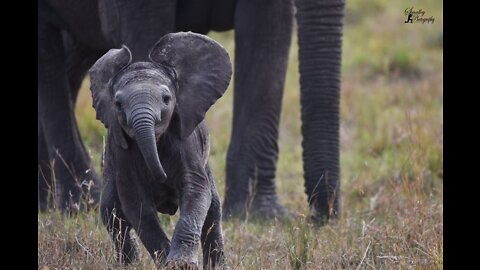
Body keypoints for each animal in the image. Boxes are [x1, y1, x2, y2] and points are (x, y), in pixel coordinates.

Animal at [90, 32, 234, 268]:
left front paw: (181, 264)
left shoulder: (186, 142)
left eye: (166, 99)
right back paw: (129, 265)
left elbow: (195, 190)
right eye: (118, 104)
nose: (163, 177)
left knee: (213, 211)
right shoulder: (122, 152)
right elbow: (136, 203)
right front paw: (167, 262)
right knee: (111, 212)